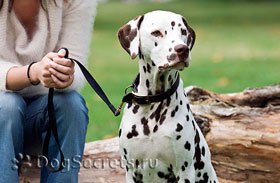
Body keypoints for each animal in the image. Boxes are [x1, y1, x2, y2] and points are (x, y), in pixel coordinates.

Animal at [117, 10, 218, 182]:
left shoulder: (184, 170)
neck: (153, 102)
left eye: (183, 31)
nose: (183, 49)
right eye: (156, 33)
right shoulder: (130, 172)